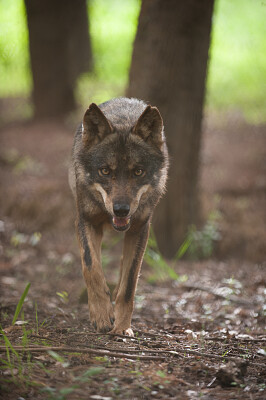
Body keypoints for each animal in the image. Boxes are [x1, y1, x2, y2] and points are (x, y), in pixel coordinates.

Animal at [68, 97, 168, 334]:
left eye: (138, 172)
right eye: (105, 171)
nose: (121, 210)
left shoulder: (140, 229)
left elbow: (130, 282)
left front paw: (122, 327)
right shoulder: (86, 221)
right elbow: (91, 268)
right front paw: (102, 316)